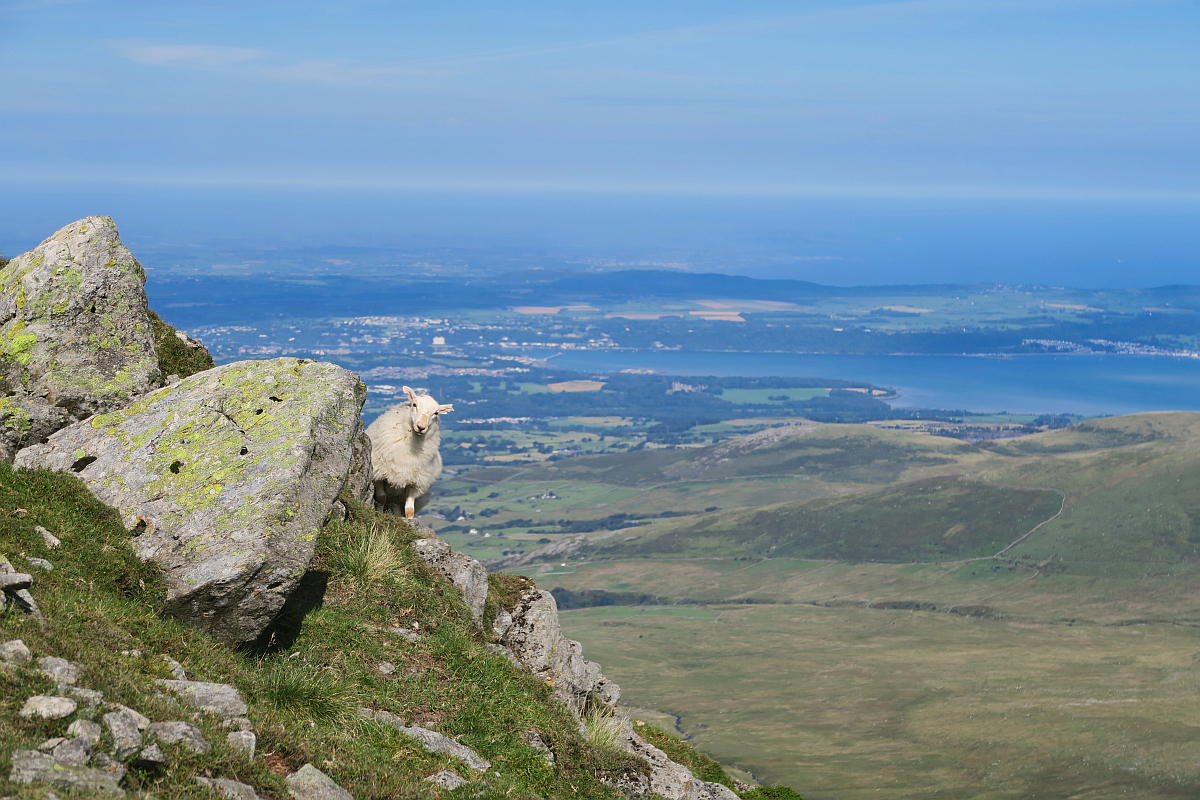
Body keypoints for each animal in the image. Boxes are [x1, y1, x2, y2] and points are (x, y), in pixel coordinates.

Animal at [364, 386, 453, 520]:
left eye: (436, 413)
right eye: (414, 404)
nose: (421, 427)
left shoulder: (415, 483)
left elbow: (409, 510)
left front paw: (410, 521)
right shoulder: (379, 475)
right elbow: (381, 499)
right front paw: (378, 515)